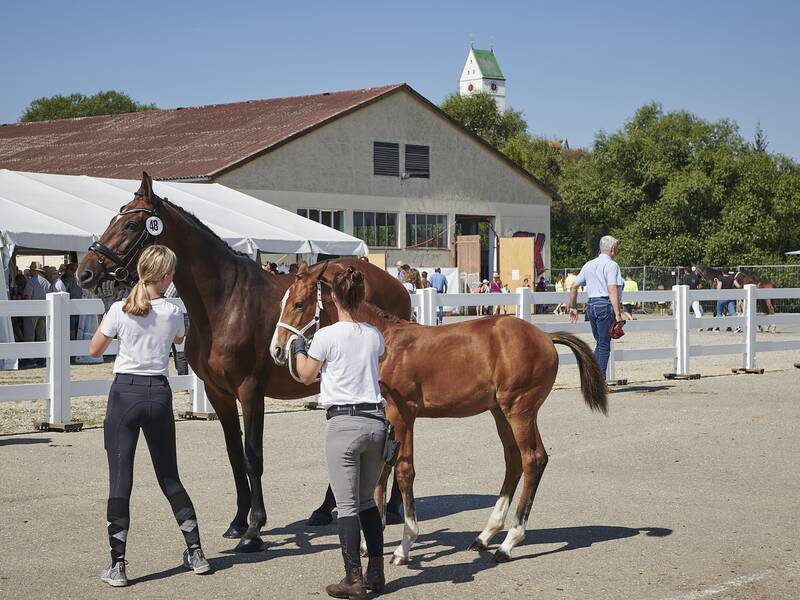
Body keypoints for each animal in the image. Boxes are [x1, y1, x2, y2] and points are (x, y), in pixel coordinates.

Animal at [79, 171, 412, 552]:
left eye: (132, 223)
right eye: (114, 217)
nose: (85, 272)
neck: (225, 301)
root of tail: (393, 284)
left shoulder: (250, 390)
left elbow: (253, 456)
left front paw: (255, 527)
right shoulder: (218, 393)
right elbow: (234, 455)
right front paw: (238, 521)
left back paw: (392, 507)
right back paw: (326, 509)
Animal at [272, 268, 608, 568]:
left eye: (299, 303)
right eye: (283, 301)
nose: (277, 349)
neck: (385, 344)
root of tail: (546, 337)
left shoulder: (403, 415)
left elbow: (404, 472)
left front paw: (404, 547)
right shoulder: (386, 418)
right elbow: (381, 472)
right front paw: (370, 543)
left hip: (520, 410)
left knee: (533, 459)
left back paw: (508, 543)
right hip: (500, 412)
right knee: (513, 460)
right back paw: (485, 536)